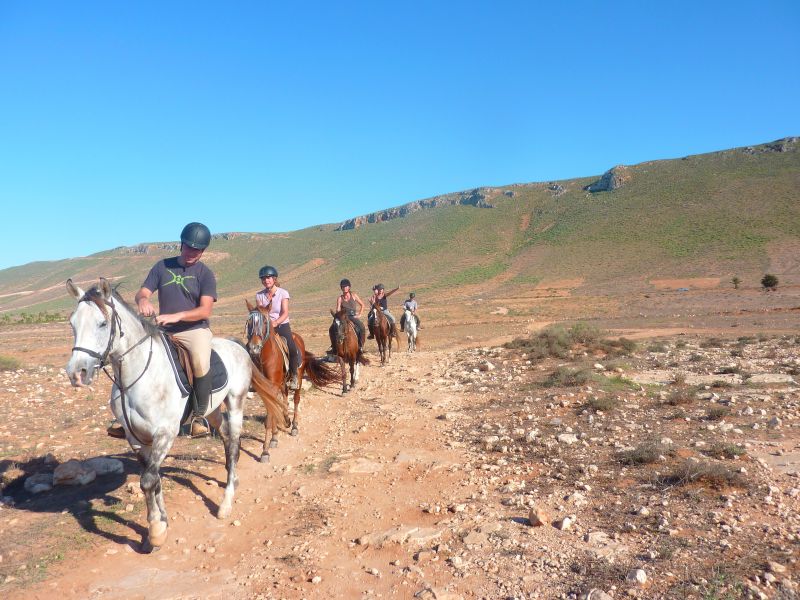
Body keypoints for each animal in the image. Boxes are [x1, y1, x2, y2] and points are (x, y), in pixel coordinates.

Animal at [65, 278, 288, 552]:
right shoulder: (136, 439)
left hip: (236, 402)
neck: (138, 376)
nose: (77, 373)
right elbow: (154, 480)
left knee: (235, 445)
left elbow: (148, 481)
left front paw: (156, 531)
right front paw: (161, 522)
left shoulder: (164, 434)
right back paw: (231, 479)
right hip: (212, 410)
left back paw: (225, 504)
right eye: (72, 323)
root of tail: (238, 346)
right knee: (225, 437)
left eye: (102, 323)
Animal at [244, 300, 338, 464]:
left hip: (297, 379)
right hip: (282, 383)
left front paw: (265, 452)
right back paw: (287, 420)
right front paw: (274, 438)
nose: (253, 347)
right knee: (285, 398)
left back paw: (294, 426)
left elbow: (270, 416)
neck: (265, 357)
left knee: (295, 399)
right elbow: (272, 411)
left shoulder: (273, 386)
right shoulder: (266, 389)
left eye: (264, 322)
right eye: (249, 323)